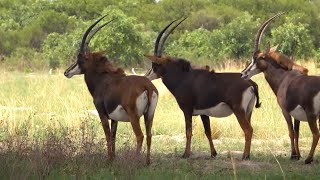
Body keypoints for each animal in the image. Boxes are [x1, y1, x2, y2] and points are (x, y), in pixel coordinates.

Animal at [63, 15, 158, 165]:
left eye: (81, 58)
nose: (66, 72)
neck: (103, 80)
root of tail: (147, 86)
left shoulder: (102, 114)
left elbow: (107, 135)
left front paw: (108, 160)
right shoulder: (114, 119)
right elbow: (113, 137)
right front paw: (113, 158)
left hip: (134, 116)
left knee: (140, 136)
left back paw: (136, 161)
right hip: (149, 115)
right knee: (149, 135)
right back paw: (147, 162)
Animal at [144, 18, 260, 159]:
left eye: (154, 65)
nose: (147, 76)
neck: (183, 78)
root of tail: (251, 83)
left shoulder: (187, 110)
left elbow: (188, 132)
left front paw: (186, 154)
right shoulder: (204, 113)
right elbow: (207, 132)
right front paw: (213, 153)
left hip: (239, 111)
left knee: (248, 130)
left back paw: (244, 156)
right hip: (248, 111)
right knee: (249, 129)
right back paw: (246, 155)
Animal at [240, 12, 320, 164]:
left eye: (257, 58)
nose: (243, 74)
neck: (284, 77)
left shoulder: (285, 110)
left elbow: (291, 132)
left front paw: (293, 155)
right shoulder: (296, 115)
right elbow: (297, 132)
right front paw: (297, 155)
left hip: (312, 116)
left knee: (316, 134)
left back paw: (309, 159)